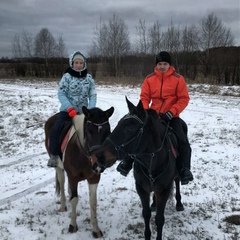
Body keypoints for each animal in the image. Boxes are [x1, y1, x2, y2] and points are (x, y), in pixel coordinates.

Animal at [44, 106, 114, 237]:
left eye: (107, 130)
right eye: (89, 131)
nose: (99, 162)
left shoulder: (94, 178)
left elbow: (93, 202)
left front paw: (96, 230)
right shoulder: (73, 177)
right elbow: (74, 200)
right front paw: (73, 226)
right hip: (58, 166)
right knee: (62, 181)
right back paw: (63, 206)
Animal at [91, 97, 184, 240]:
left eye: (129, 127)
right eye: (119, 123)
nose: (99, 156)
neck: (152, 161)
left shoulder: (164, 190)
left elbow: (159, 219)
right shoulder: (142, 188)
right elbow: (146, 214)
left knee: (178, 181)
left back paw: (179, 203)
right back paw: (154, 204)